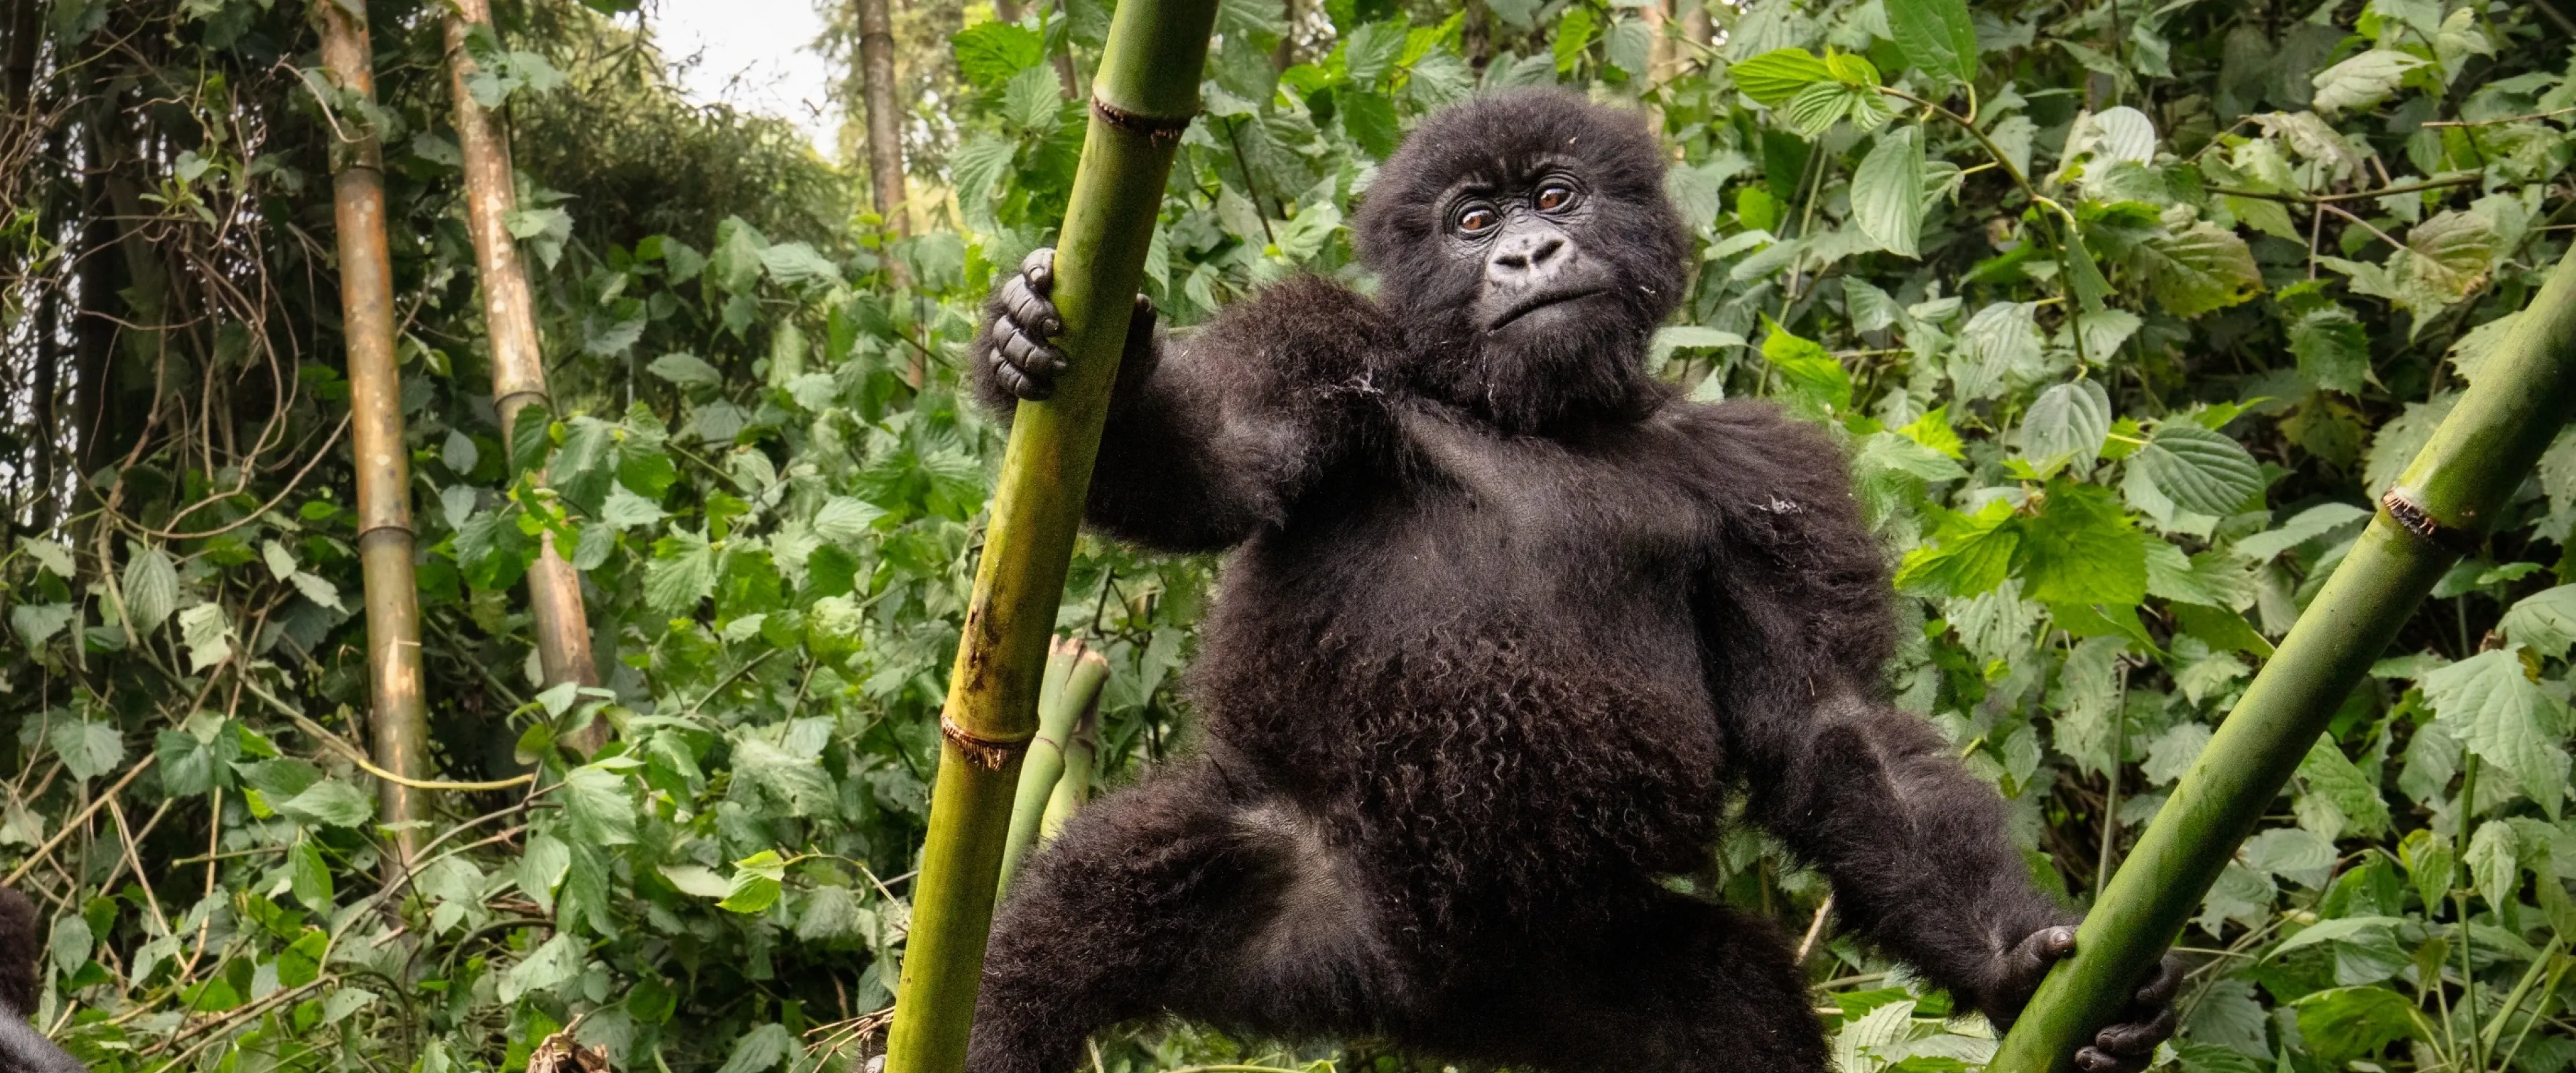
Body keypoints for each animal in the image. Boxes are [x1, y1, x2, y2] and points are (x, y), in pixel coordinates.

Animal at [961, 87, 2179, 1073]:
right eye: (1473, 221)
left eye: (1558, 195)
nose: (1532, 258)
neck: (1542, 411)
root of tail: (1388, 990)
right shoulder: (1324, 348)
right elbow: (1212, 459)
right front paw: (1071, 359)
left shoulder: (1760, 476)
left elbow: (1828, 727)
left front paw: (2011, 961)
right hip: (1301, 865)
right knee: (1056, 940)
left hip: (1575, 961)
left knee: (1734, 1018)